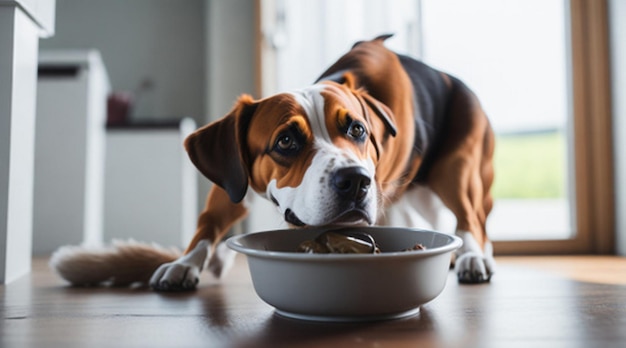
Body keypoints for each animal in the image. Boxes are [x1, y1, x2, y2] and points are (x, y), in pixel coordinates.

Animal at [51, 34, 494, 290]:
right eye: (285, 141)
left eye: (357, 130)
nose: (356, 181)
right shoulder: (231, 183)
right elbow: (206, 226)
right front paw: (185, 262)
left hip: (457, 171)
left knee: (470, 217)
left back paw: (474, 255)